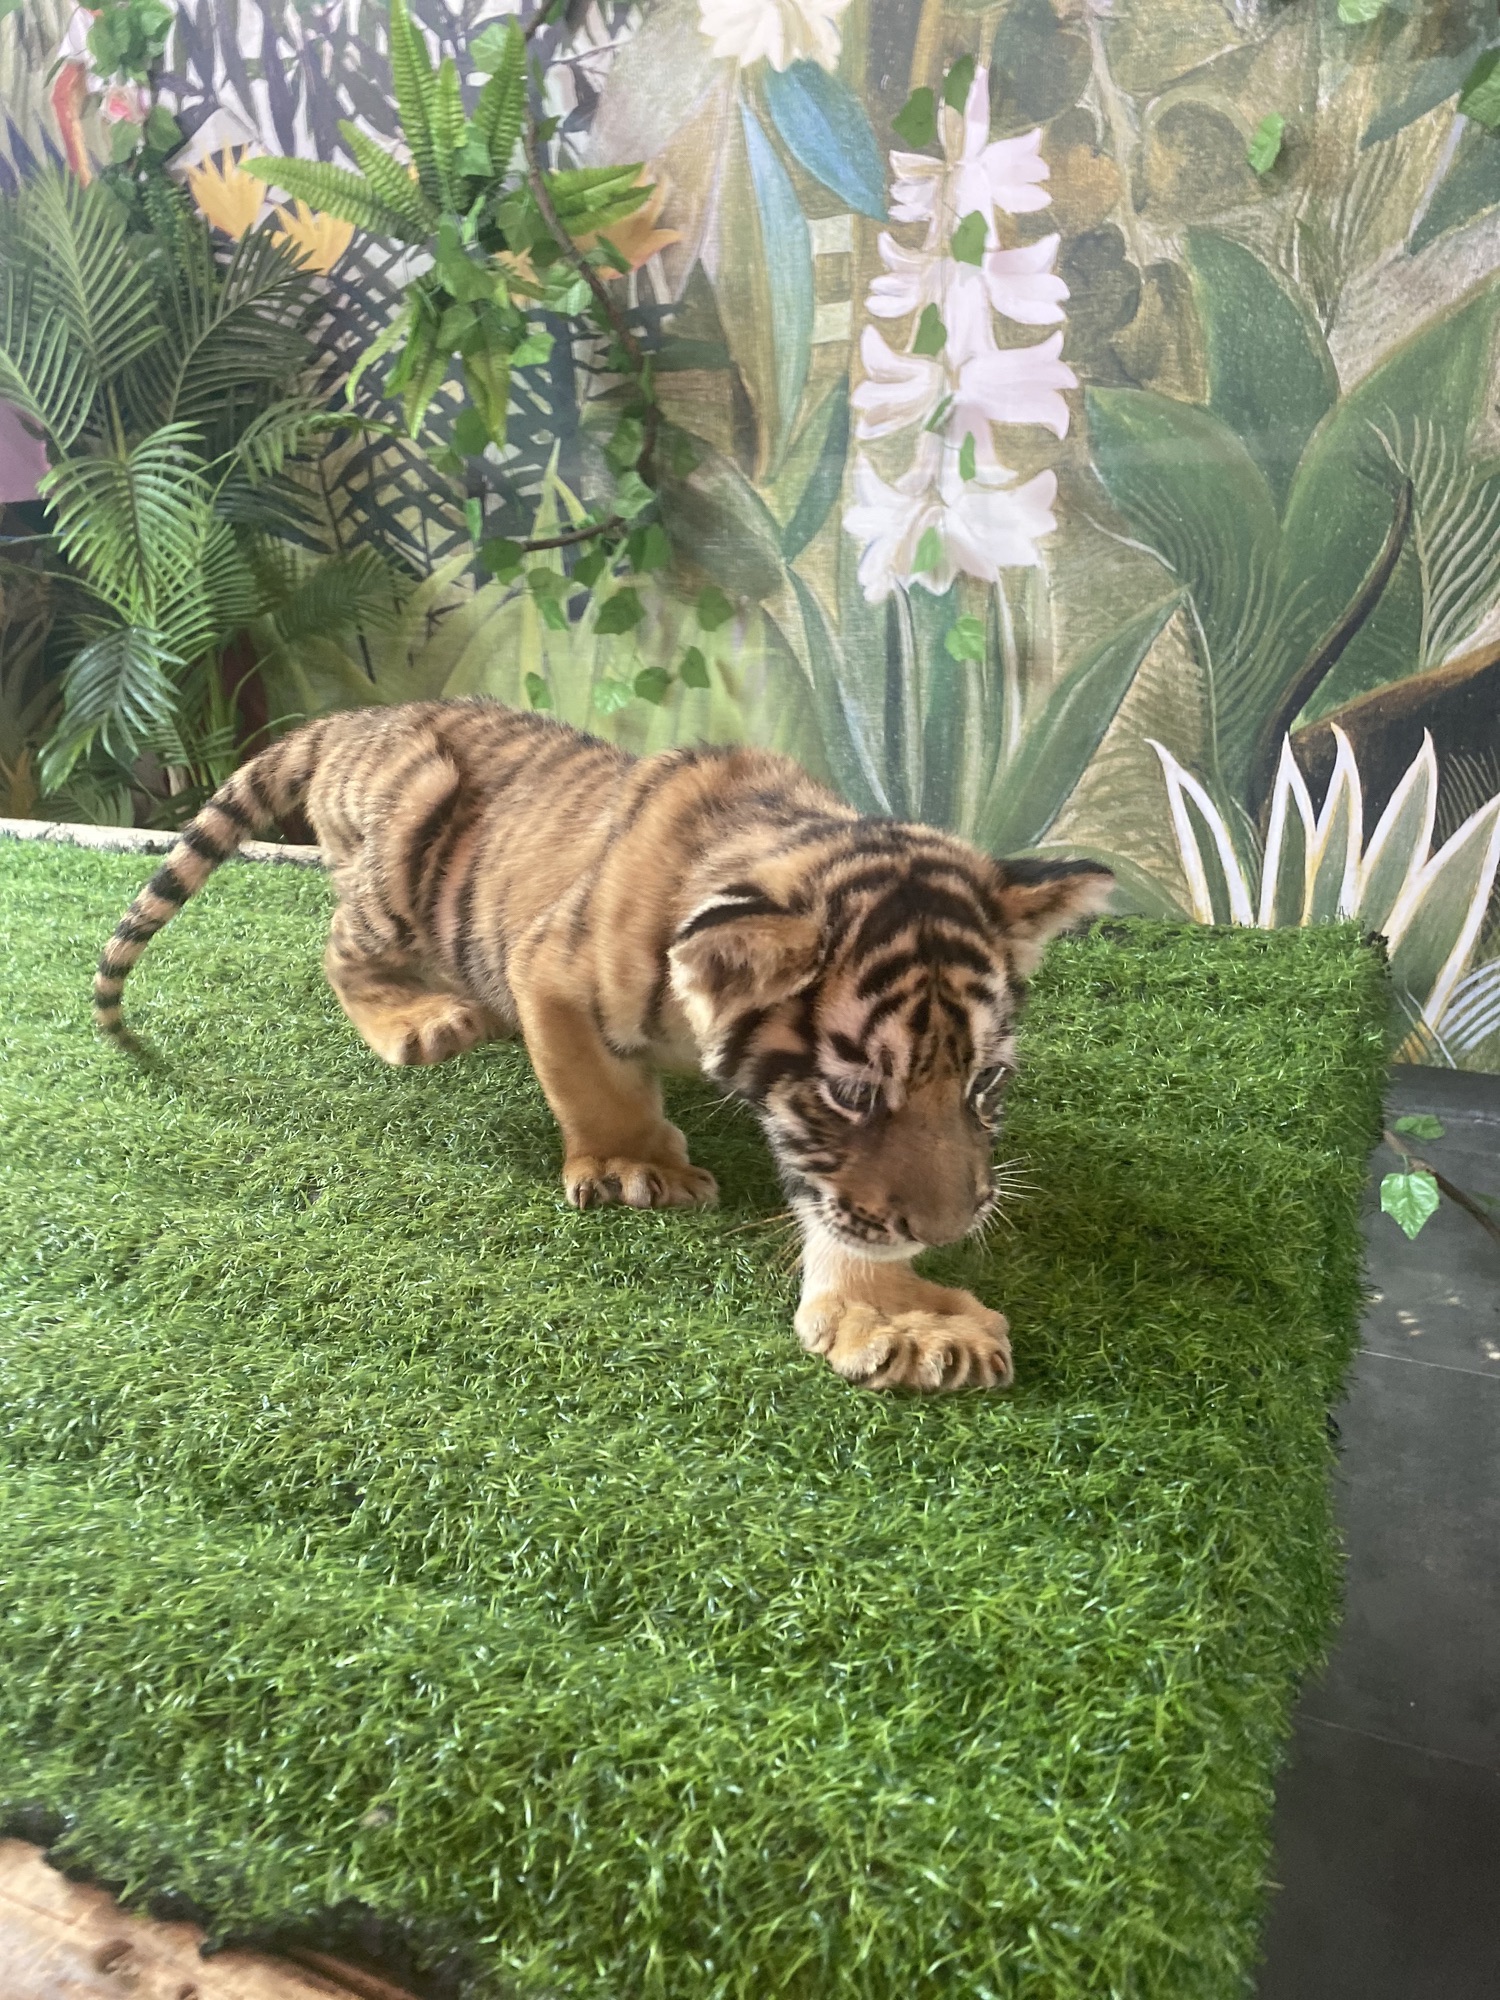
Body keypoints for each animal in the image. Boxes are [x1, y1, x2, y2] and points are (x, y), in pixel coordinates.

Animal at [94, 699, 1112, 1392]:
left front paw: (899, 1319)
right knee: (340, 941)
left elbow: (836, 1211)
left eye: (985, 1086)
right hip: (402, 845)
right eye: (855, 1093)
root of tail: (357, 714)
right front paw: (636, 1172)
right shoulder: (552, 968)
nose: (950, 1231)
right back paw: (424, 1021)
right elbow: (598, 1089)